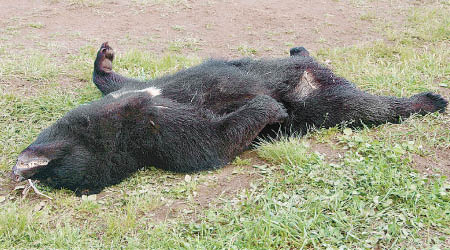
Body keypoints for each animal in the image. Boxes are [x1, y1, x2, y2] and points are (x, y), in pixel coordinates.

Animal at [10, 42, 446, 193]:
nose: (19, 169)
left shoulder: (144, 90)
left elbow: (116, 80)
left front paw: (105, 57)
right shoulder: (158, 136)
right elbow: (213, 142)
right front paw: (269, 107)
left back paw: (297, 49)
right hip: (331, 103)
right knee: (371, 107)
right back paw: (429, 100)